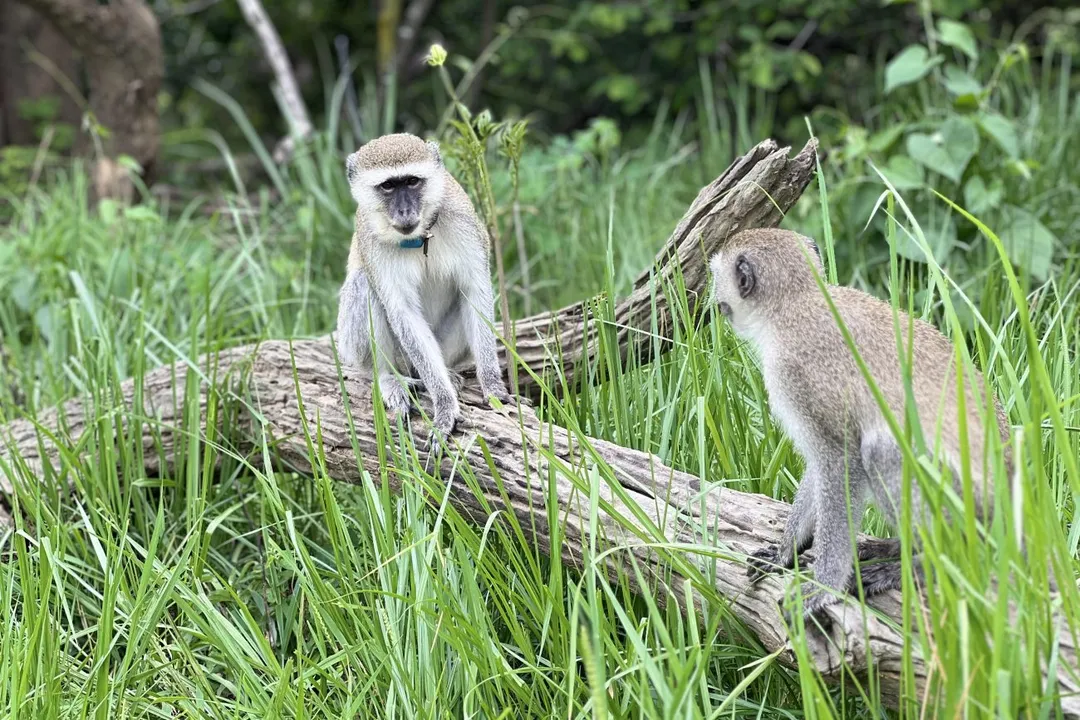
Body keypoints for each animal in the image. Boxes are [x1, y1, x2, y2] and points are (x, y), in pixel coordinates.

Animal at [334, 133, 512, 452]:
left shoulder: (464, 223)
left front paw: (492, 387)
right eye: (388, 186)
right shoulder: (372, 242)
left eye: (412, 181)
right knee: (363, 284)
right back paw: (389, 378)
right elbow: (402, 312)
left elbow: (474, 294)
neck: (419, 238)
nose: (404, 212)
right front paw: (444, 404)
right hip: (369, 350)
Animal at [709, 228, 1014, 621]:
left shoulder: (796, 375)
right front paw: (785, 551)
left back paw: (923, 565)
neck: (795, 305)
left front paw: (824, 586)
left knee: (880, 451)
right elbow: (820, 466)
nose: (715, 303)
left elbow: (842, 462)